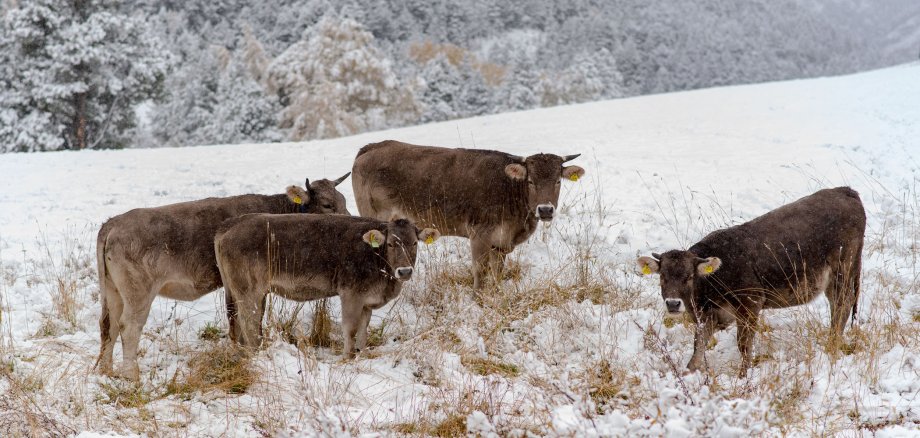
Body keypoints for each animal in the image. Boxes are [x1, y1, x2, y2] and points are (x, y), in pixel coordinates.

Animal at [96, 175, 348, 380]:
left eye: (344, 201)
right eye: (327, 205)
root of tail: (113, 222)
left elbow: (234, 319)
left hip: (112, 291)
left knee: (108, 326)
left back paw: (106, 371)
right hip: (138, 292)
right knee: (129, 326)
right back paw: (131, 376)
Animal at [352, 140, 584, 290]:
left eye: (558, 180)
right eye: (530, 181)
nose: (545, 210)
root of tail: (372, 147)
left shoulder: (500, 243)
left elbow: (497, 272)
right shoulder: (479, 235)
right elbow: (480, 271)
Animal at [636, 186, 868, 374]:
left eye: (690, 277)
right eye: (662, 277)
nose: (673, 304)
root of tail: (846, 191)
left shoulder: (750, 304)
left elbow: (744, 346)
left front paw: (743, 376)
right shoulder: (709, 317)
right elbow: (698, 349)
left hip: (843, 269)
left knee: (842, 306)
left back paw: (832, 346)